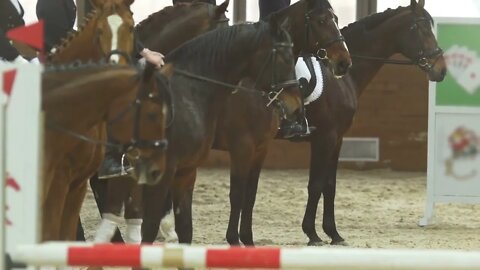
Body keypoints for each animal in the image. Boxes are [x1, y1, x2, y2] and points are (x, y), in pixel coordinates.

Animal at [296, 0, 446, 246]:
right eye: (422, 28)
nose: (441, 70)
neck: (339, 77)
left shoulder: (337, 139)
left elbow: (329, 186)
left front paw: (333, 234)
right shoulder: (324, 138)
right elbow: (316, 184)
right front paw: (312, 234)